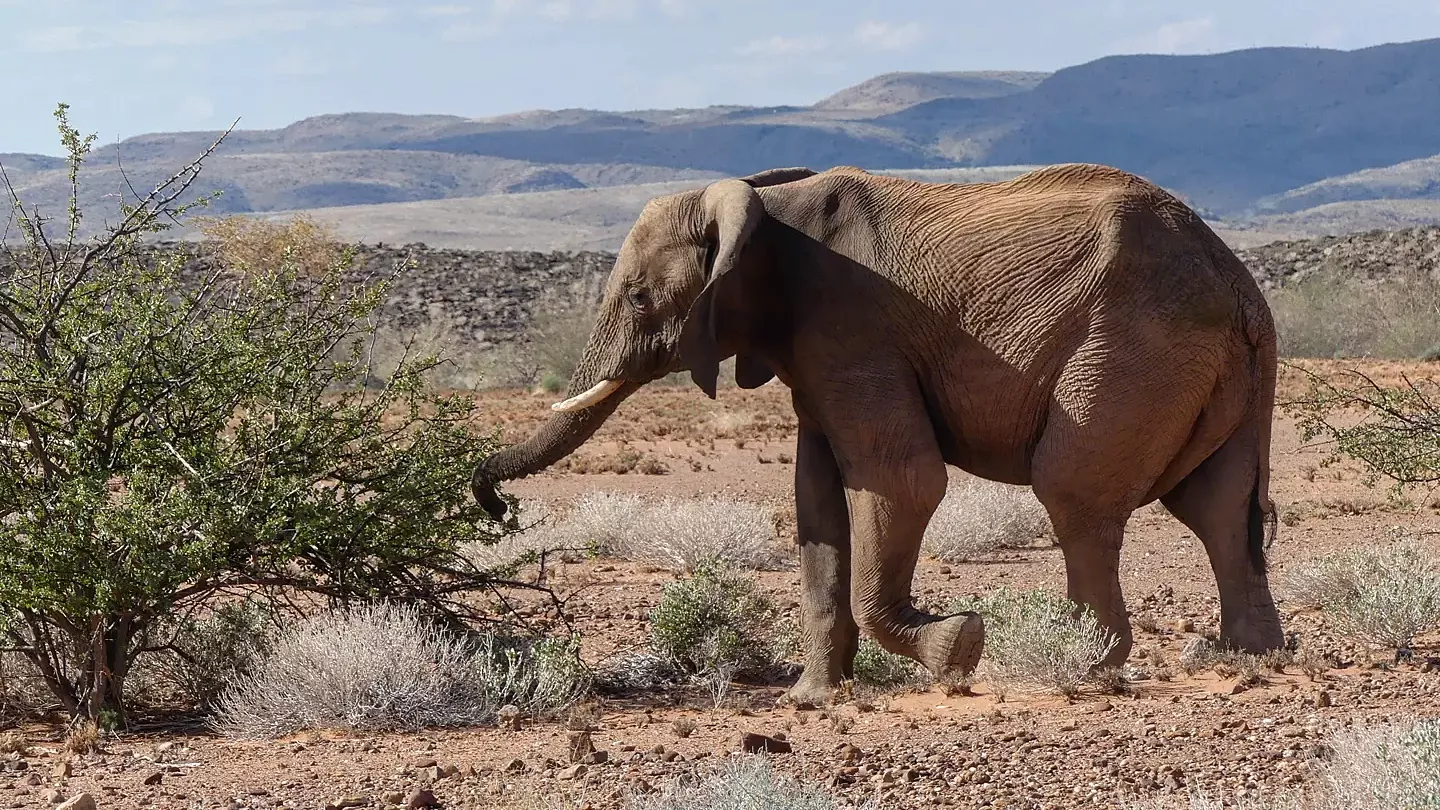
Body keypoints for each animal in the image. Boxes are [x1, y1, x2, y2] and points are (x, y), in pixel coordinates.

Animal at [470, 162, 1286, 707]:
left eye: (640, 297)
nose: (491, 503)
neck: (763, 206)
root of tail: (1237, 282)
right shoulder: (812, 351)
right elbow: (818, 505)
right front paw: (812, 699)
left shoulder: (850, 327)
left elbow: (902, 481)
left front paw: (958, 647)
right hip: (1223, 373)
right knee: (1216, 508)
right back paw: (1244, 657)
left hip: (1131, 354)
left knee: (1074, 494)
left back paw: (1086, 666)